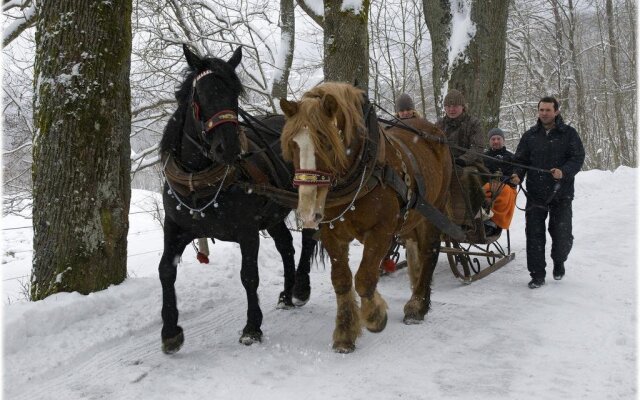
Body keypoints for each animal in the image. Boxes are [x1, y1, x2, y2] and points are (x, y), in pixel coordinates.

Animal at [158, 45, 312, 354]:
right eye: (200, 94)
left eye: (234, 94)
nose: (228, 146)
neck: (198, 180)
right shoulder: (175, 227)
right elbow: (166, 270)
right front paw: (170, 332)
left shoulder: (247, 230)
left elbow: (249, 275)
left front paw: (252, 327)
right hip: (274, 213)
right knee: (286, 246)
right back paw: (287, 294)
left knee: (311, 235)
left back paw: (301, 287)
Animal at [280, 83, 450, 352]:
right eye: (293, 145)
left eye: (326, 142)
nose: (307, 213)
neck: (364, 168)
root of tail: (434, 132)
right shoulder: (331, 232)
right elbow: (341, 279)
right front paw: (345, 333)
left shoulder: (381, 231)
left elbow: (364, 278)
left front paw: (374, 316)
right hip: (412, 217)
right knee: (415, 250)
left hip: (434, 211)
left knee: (429, 252)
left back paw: (417, 305)